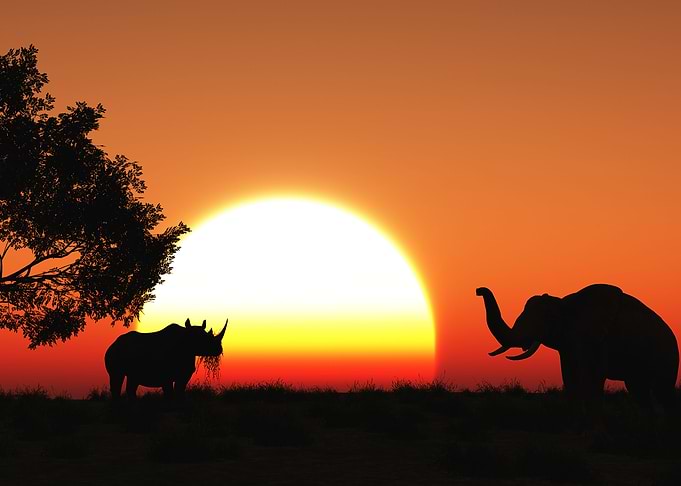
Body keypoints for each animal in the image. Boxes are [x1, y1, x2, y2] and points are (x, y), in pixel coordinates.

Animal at [476, 284, 678, 414]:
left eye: (548, 318)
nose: (478, 291)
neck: (564, 303)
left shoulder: (599, 338)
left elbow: (594, 376)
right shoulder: (568, 343)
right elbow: (569, 375)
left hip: (668, 355)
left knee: (663, 392)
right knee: (639, 391)